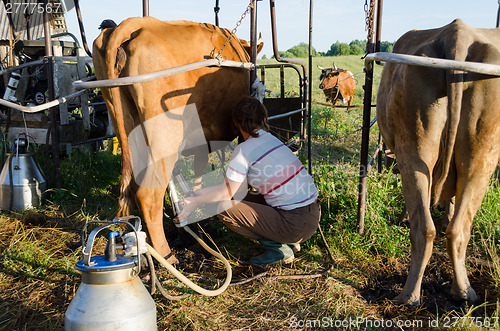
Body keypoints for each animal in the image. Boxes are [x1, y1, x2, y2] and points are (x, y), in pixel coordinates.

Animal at [92, 17, 262, 262]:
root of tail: (133, 24)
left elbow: (198, 175)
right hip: (165, 136)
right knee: (148, 194)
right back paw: (165, 254)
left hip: (124, 122)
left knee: (134, 185)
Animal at [376, 18, 500, 306]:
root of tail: (458, 32)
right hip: (479, 155)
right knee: (455, 228)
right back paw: (460, 292)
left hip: (417, 151)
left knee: (428, 228)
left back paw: (412, 295)